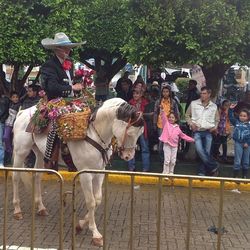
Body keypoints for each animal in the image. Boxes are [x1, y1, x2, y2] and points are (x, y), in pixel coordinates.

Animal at [11, 97, 144, 246]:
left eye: (140, 133)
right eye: (130, 133)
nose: (129, 156)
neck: (94, 134)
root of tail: (22, 112)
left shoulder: (99, 172)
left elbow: (98, 199)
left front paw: (80, 225)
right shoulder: (85, 174)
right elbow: (91, 201)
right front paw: (95, 234)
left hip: (40, 153)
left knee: (37, 176)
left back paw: (41, 207)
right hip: (21, 152)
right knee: (15, 177)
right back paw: (17, 210)